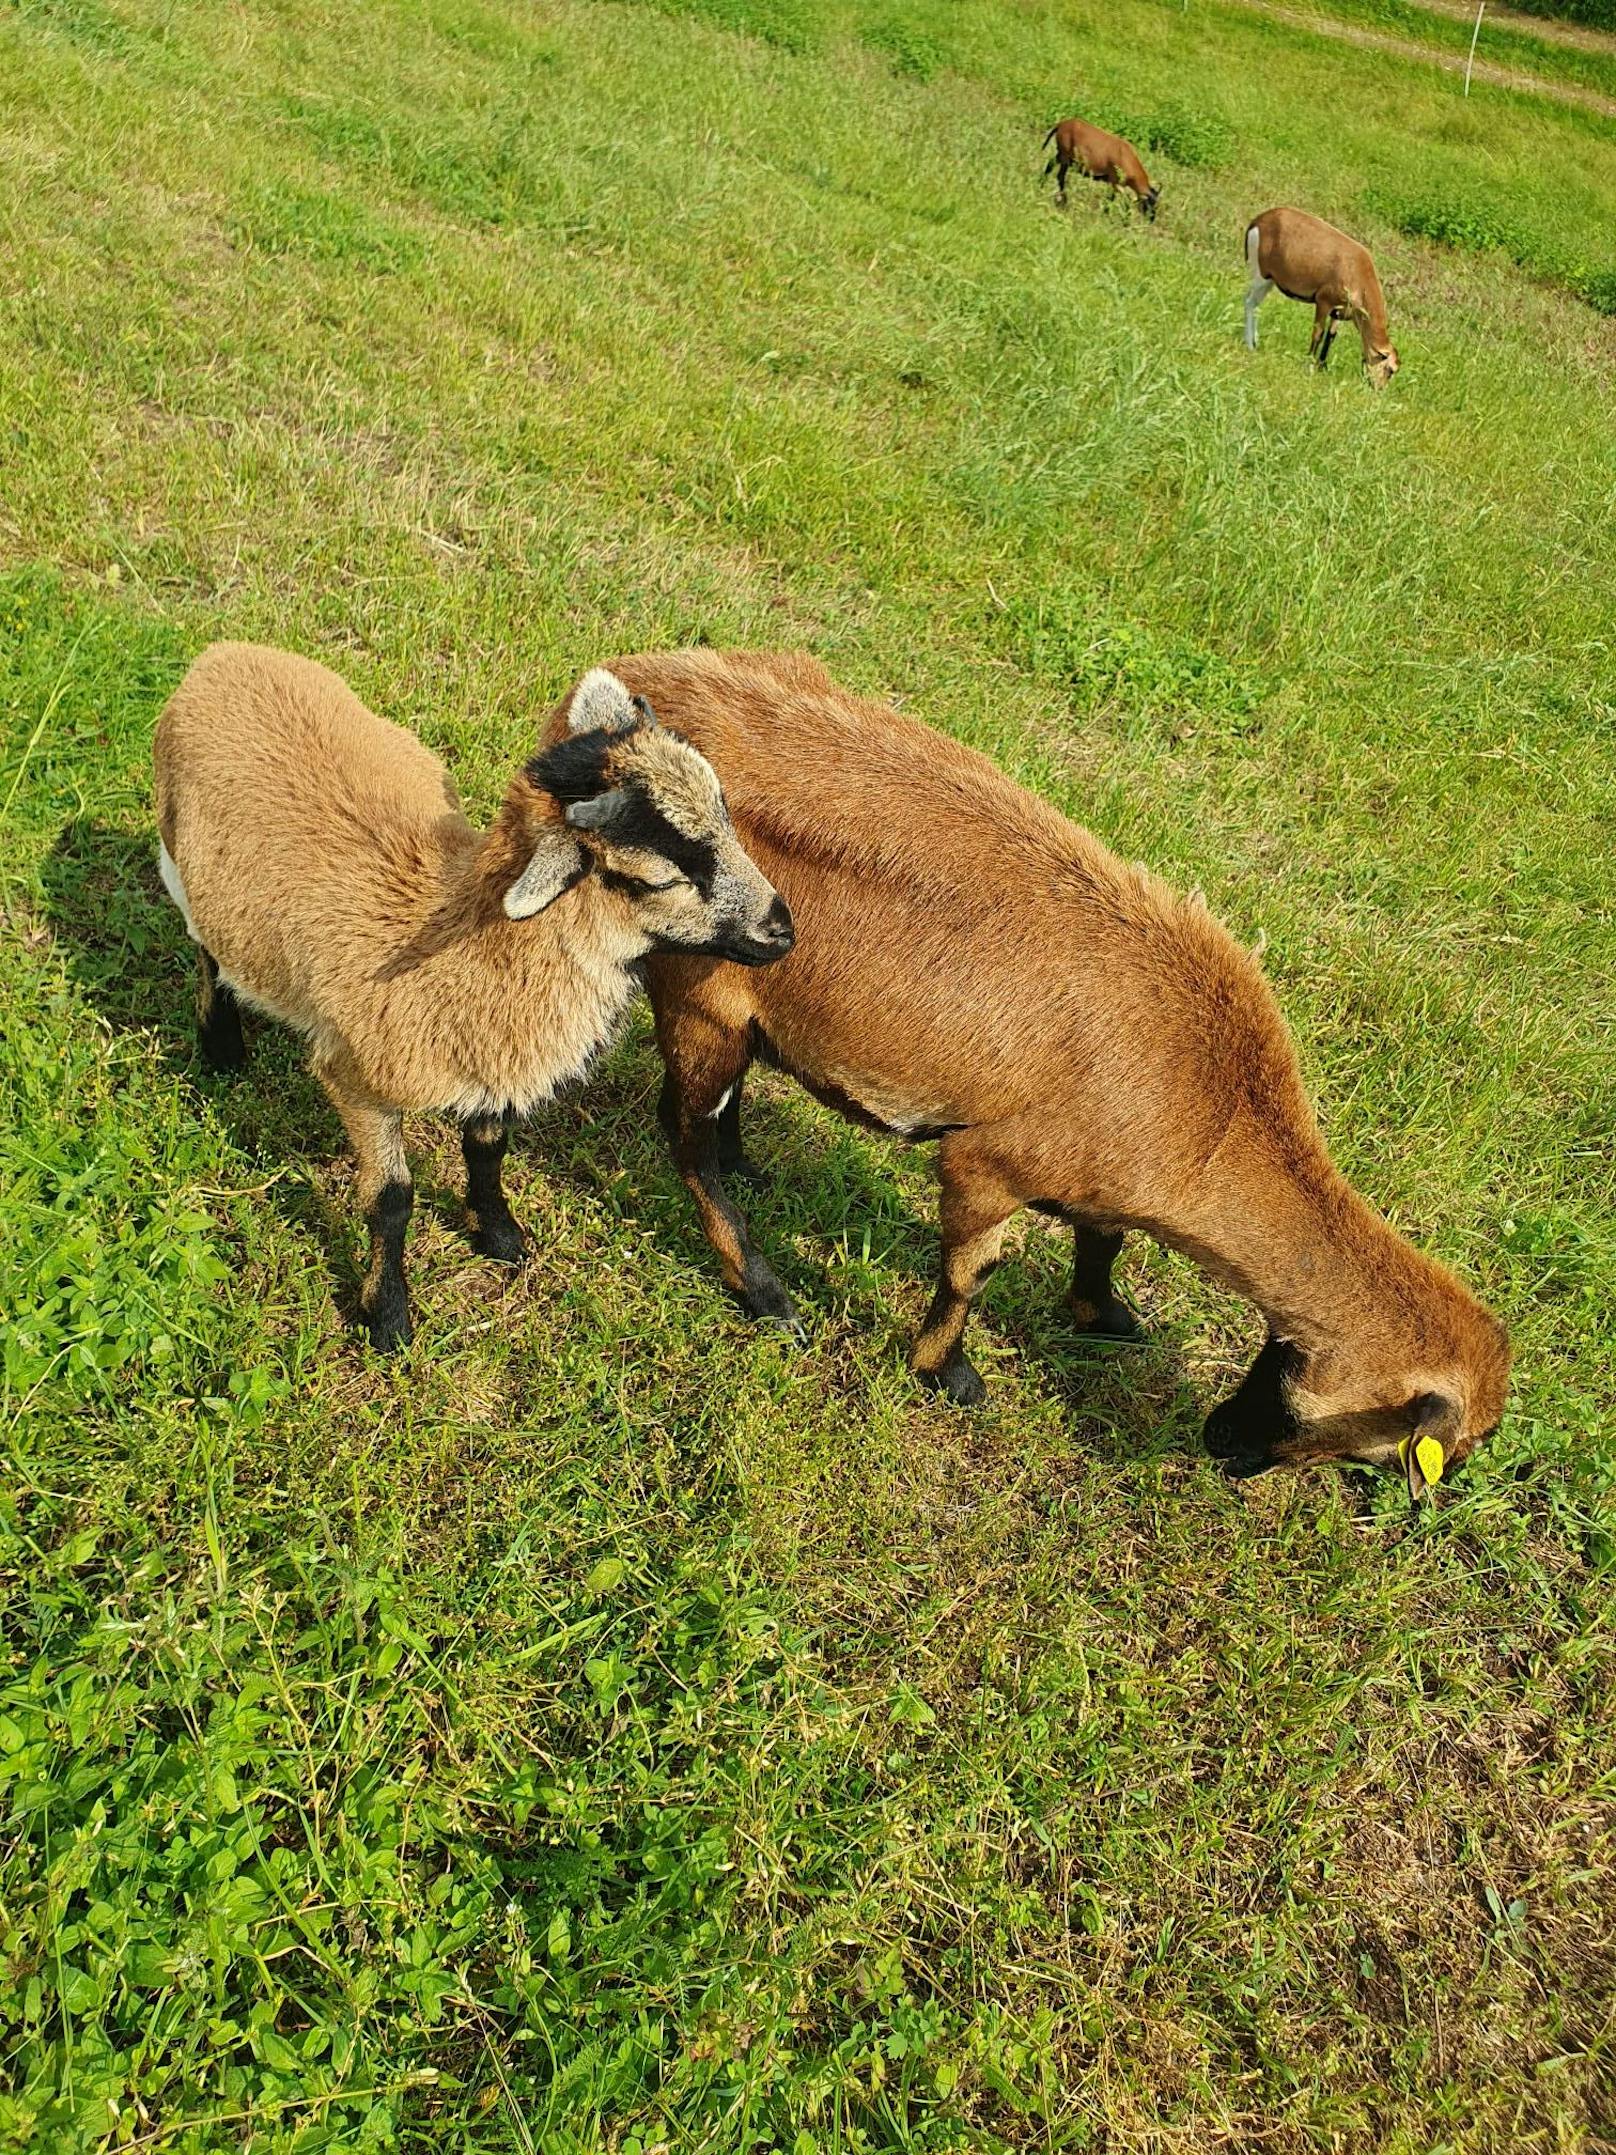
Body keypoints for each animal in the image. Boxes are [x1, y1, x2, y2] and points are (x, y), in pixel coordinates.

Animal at [155, 637, 801, 1344]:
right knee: (205, 947)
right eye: (659, 879)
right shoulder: (354, 1076)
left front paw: (498, 1234)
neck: (468, 944)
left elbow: (488, 1147)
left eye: (726, 815)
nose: (783, 930)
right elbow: (390, 1199)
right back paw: (221, 1047)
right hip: (178, 857)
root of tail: (226, 653)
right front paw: (388, 1317)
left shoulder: (494, 1054)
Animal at [545, 646, 1516, 1491]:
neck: (1218, 1114)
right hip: (697, 985)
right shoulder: (987, 1159)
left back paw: (750, 1161)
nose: (1219, 1445)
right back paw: (762, 1290)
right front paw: (946, 1373)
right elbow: (973, 1271)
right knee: (685, 1138)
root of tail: (616, 689)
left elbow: (1103, 1238)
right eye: (1385, 1449)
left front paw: (1107, 1317)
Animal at [1249, 205, 1396, 387]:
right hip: (1260, 274)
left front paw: (1322, 366)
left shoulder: (1339, 312)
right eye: (1390, 370)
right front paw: (1309, 365)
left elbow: (1330, 337)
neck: (1359, 273)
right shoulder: (1323, 302)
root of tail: (1259, 219)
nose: (1379, 389)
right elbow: (1318, 333)